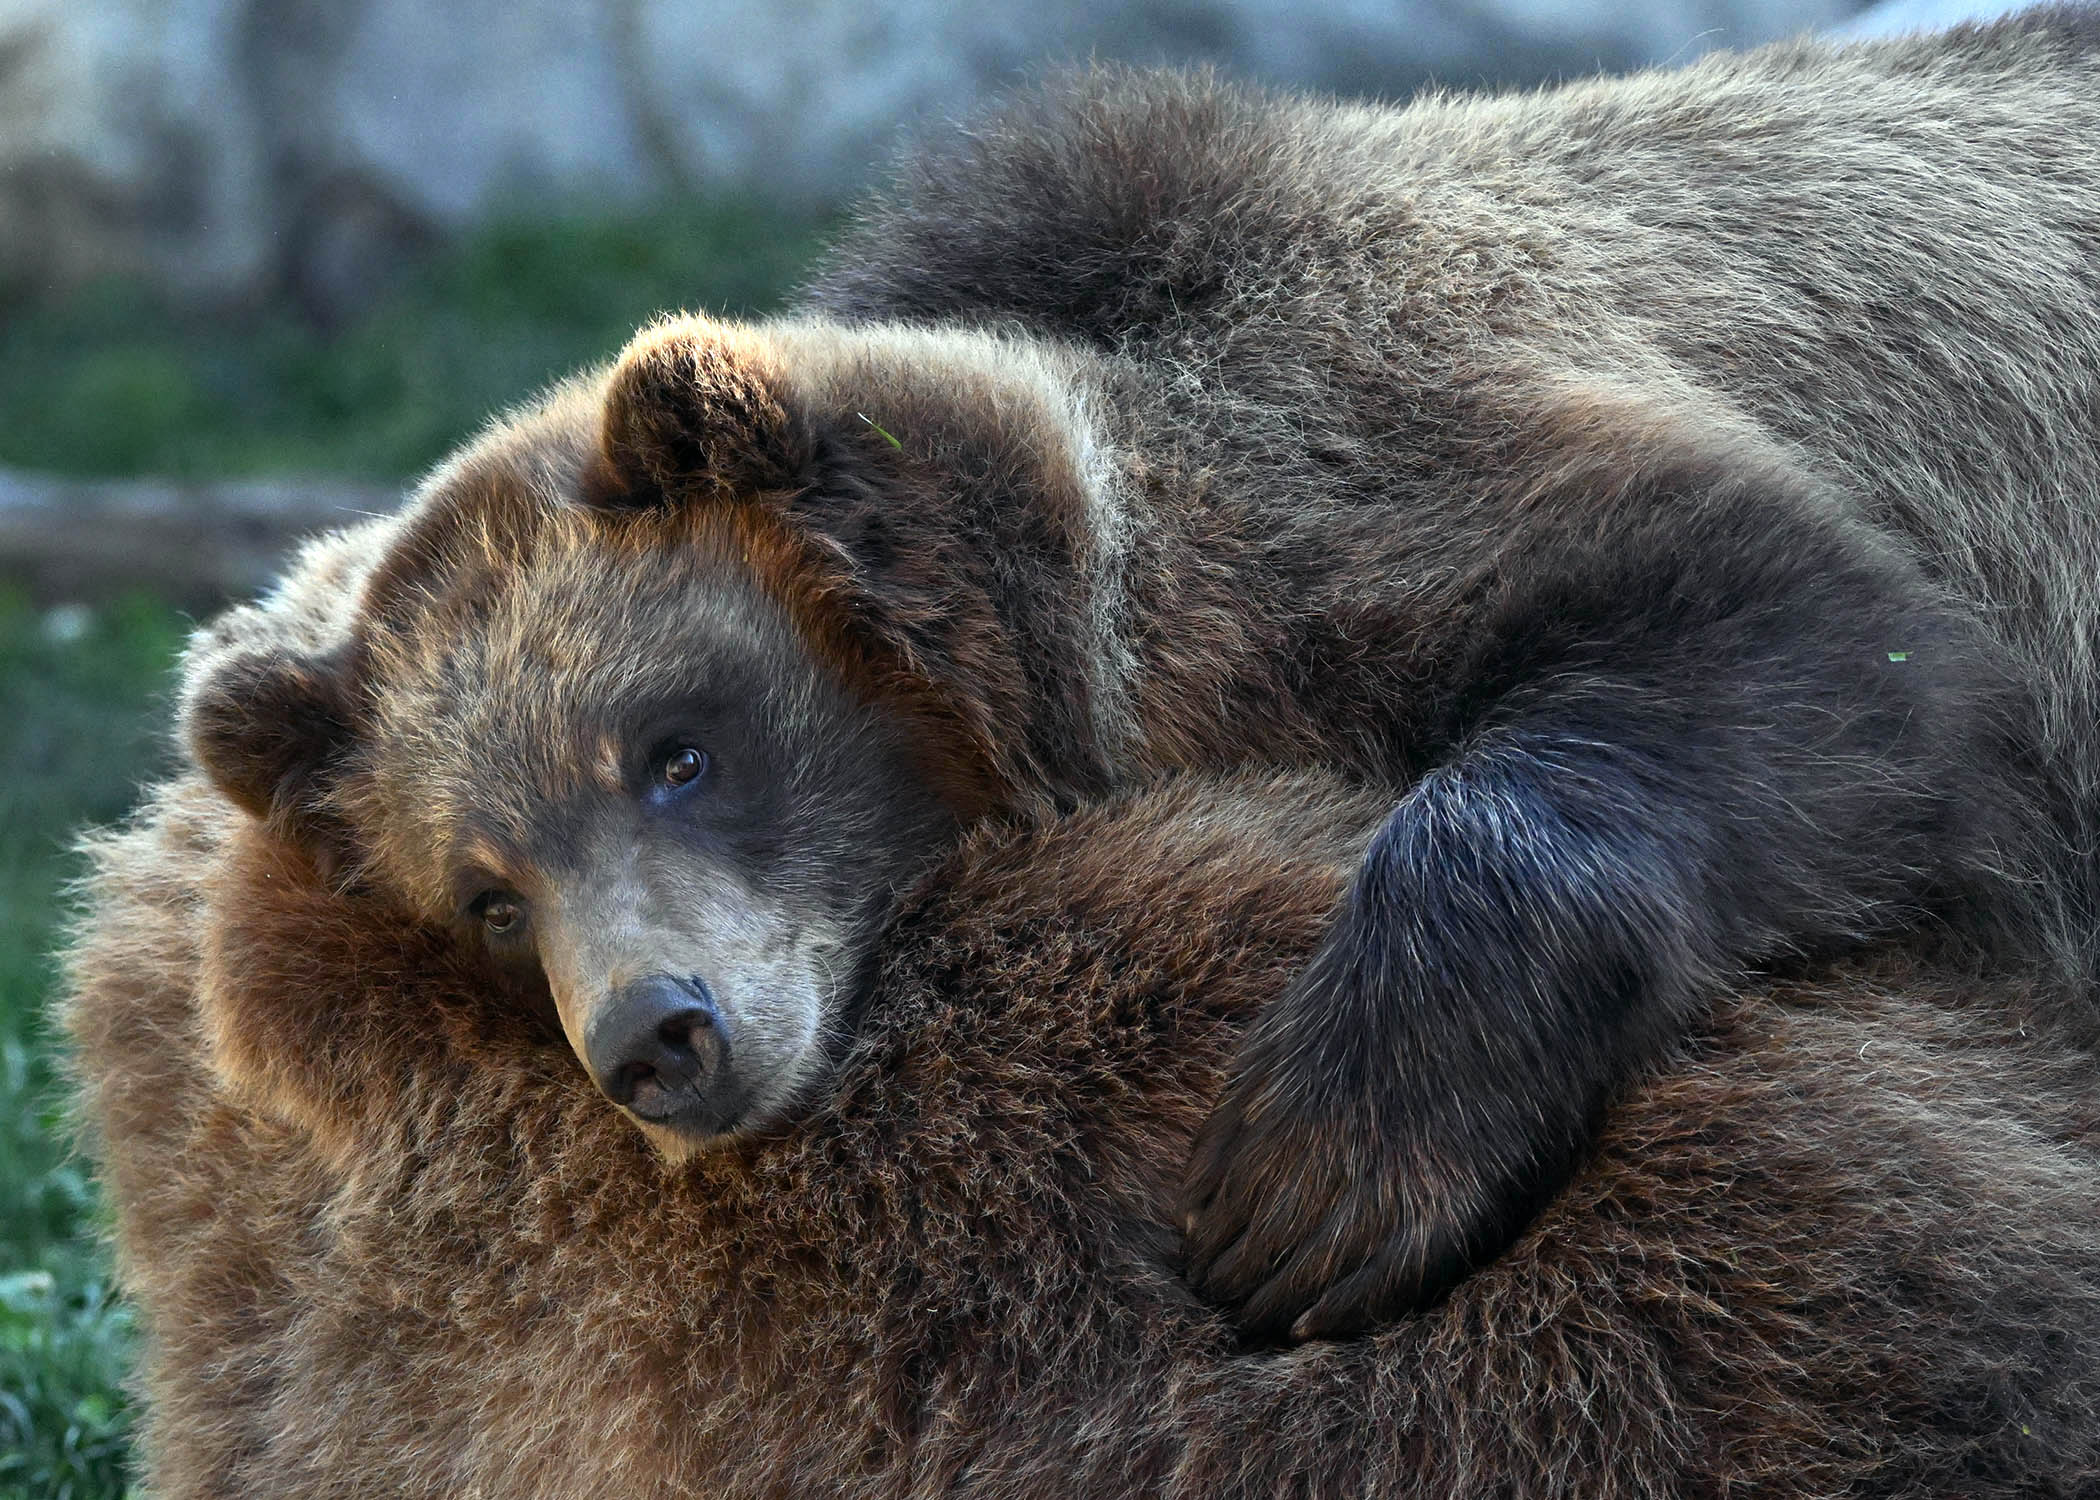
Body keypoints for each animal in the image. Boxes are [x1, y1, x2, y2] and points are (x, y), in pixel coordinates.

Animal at [167, 11, 2100, 1342]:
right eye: (489, 898)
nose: (655, 1034)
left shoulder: (1379, 442)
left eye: (675, 748)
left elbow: (1817, 654)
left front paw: (1308, 1177)